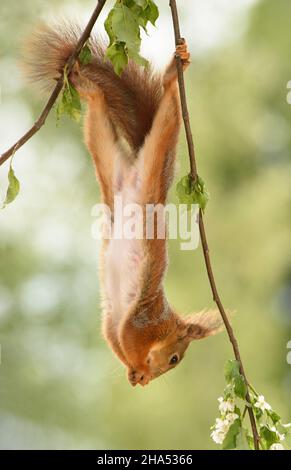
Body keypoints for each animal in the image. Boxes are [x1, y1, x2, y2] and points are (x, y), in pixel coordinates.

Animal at [24, 23, 224, 386]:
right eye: (174, 358)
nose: (149, 379)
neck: (163, 326)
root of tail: (135, 179)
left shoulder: (114, 324)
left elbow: (115, 341)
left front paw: (134, 373)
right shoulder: (139, 322)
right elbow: (128, 340)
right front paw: (139, 371)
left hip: (107, 159)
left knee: (98, 112)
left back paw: (85, 86)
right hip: (155, 162)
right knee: (168, 120)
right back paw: (174, 74)